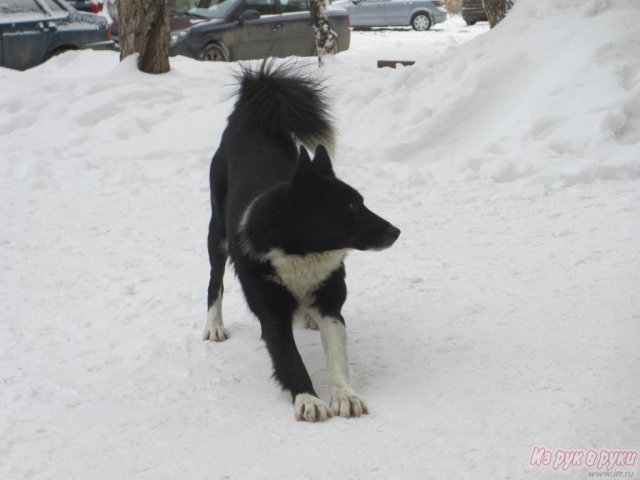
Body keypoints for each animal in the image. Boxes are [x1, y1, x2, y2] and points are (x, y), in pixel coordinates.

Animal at [202, 62, 398, 422]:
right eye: (351, 206)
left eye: (361, 201)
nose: (395, 231)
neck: (301, 252)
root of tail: (251, 116)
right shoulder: (272, 314)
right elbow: (290, 361)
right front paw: (308, 399)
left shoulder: (330, 305)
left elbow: (337, 357)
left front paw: (345, 396)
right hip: (216, 232)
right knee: (215, 281)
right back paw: (214, 326)